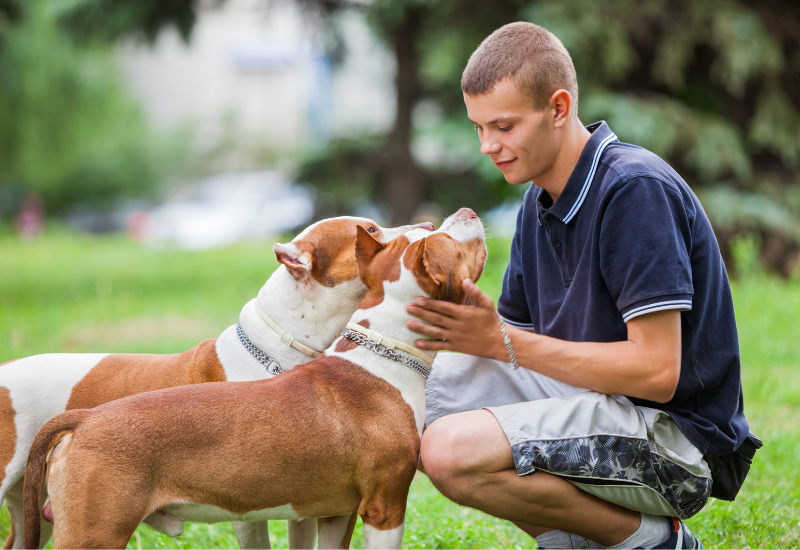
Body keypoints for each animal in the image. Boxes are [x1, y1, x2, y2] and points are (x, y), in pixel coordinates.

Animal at [21, 208, 488, 550]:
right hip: (93, 533)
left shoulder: (333, 512)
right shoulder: (384, 506)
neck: (379, 352)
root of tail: (84, 420)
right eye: (449, 242)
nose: (459, 212)